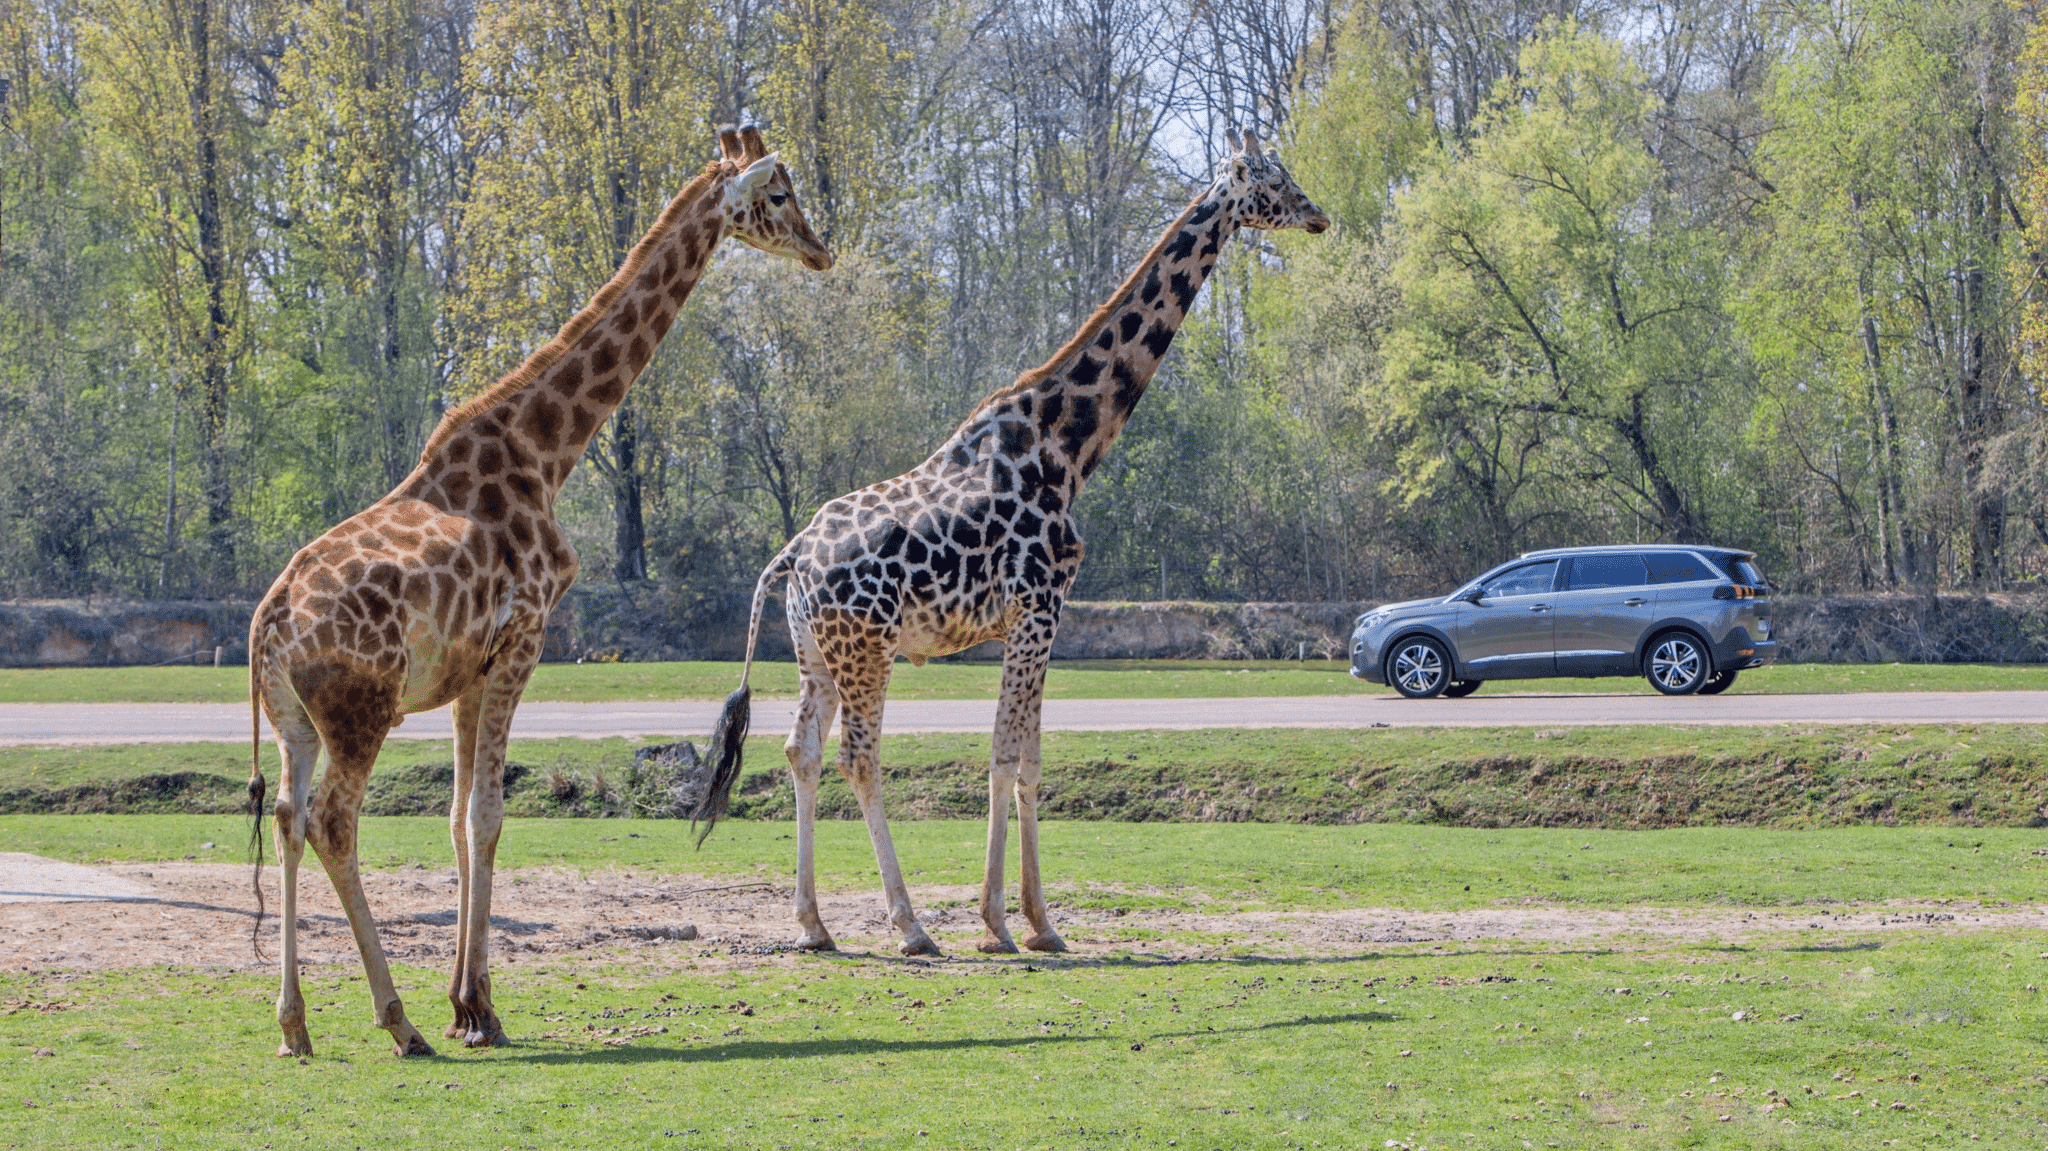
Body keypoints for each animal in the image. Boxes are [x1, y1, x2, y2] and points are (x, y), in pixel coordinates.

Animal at [245, 127, 831, 1056]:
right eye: (777, 195)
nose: (821, 248)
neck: (545, 451)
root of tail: (267, 626)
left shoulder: (466, 672)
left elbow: (457, 818)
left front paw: (468, 1002)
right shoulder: (524, 640)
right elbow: (488, 815)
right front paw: (476, 1009)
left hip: (297, 722)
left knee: (288, 819)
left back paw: (295, 1024)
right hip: (361, 710)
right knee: (334, 821)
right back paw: (398, 1020)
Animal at [692, 125, 1327, 954]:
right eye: (1274, 184)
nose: (1319, 215)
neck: (1070, 445)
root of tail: (790, 559)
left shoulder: (1039, 617)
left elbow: (1028, 756)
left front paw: (1036, 921)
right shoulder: (1037, 608)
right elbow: (1003, 757)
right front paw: (1001, 920)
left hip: (815, 654)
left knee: (801, 752)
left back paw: (814, 924)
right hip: (867, 648)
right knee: (859, 756)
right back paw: (911, 926)